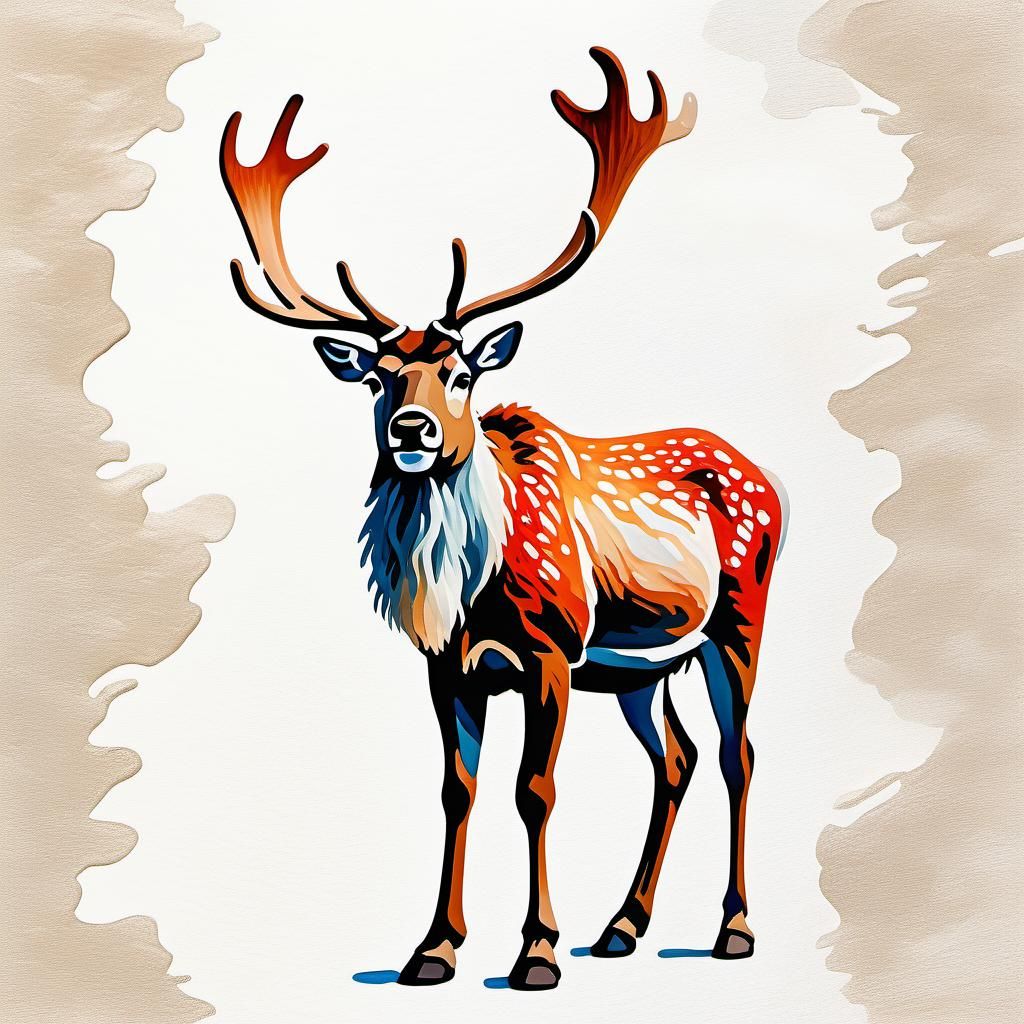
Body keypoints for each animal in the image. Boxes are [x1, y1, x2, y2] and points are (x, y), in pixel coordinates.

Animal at [221, 47, 788, 991]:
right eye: (377, 378)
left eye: (460, 373)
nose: (412, 431)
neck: (469, 590)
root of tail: (767, 476)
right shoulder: (447, 665)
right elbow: (459, 790)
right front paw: (433, 948)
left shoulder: (552, 649)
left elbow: (535, 790)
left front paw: (536, 952)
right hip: (637, 669)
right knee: (674, 757)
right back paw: (622, 927)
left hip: (738, 617)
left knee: (737, 754)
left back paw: (734, 928)